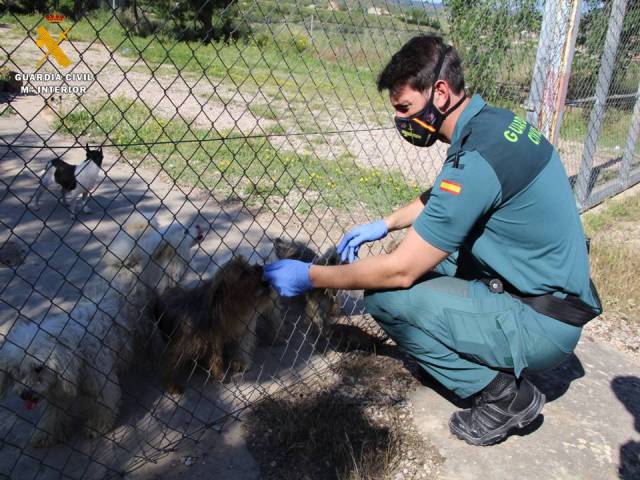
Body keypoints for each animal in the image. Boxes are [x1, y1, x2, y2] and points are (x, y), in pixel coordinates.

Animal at [156, 255, 276, 394]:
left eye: (248, 265)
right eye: (243, 274)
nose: (260, 267)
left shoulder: (234, 331)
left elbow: (225, 352)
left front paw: (230, 367)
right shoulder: (190, 341)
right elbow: (172, 360)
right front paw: (170, 384)